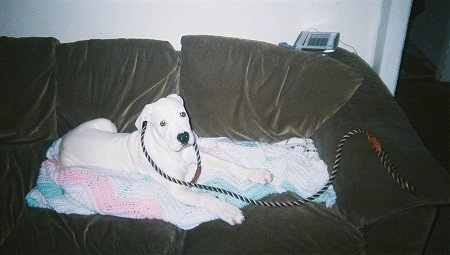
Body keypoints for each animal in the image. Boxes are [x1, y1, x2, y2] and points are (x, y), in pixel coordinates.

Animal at [58, 94, 272, 225]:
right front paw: (228, 210)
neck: (174, 153)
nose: (184, 137)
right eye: (162, 123)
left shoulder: (197, 158)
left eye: (183, 114)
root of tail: (63, 140)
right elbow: (205, 196)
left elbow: (228, 164)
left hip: (107, 124)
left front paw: (256, 174)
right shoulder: (178, 189)